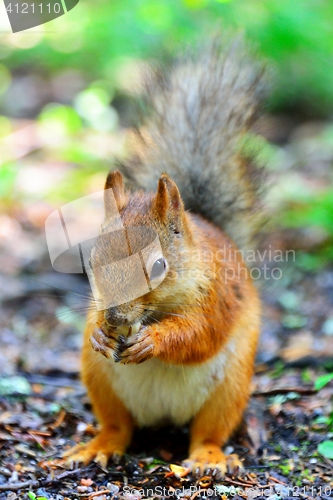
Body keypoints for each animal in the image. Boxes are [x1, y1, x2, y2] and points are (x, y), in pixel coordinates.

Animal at [64, 38, 264, 476]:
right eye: (92, 260)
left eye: (158, 266)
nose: (114, 318)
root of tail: (163, 419)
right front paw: (101, 333)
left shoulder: (216, 296)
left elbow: (200, 334)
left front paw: (152, 341)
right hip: (98, 378)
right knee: (118, 426)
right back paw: (98, 445)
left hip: (230, 387)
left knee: (209, 431)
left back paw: (207, 458)